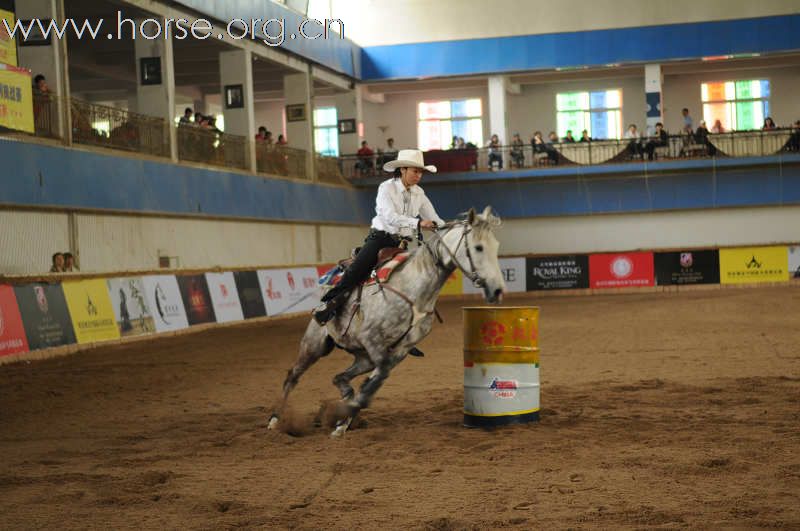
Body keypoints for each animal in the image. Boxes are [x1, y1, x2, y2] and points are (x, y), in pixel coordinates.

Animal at [268, 207, 506, 436]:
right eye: (478, 247)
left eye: (496, 246)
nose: (497, 290)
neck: (414, 288)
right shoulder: (372, 339)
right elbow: (377, 377)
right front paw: (342, 414)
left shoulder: (400, 349)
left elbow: (375, 382)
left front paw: (343, 416)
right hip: (315, 345)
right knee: (292, 377)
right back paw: (275, 420)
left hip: (363, 357)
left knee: (338, 377)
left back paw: (343, 412)